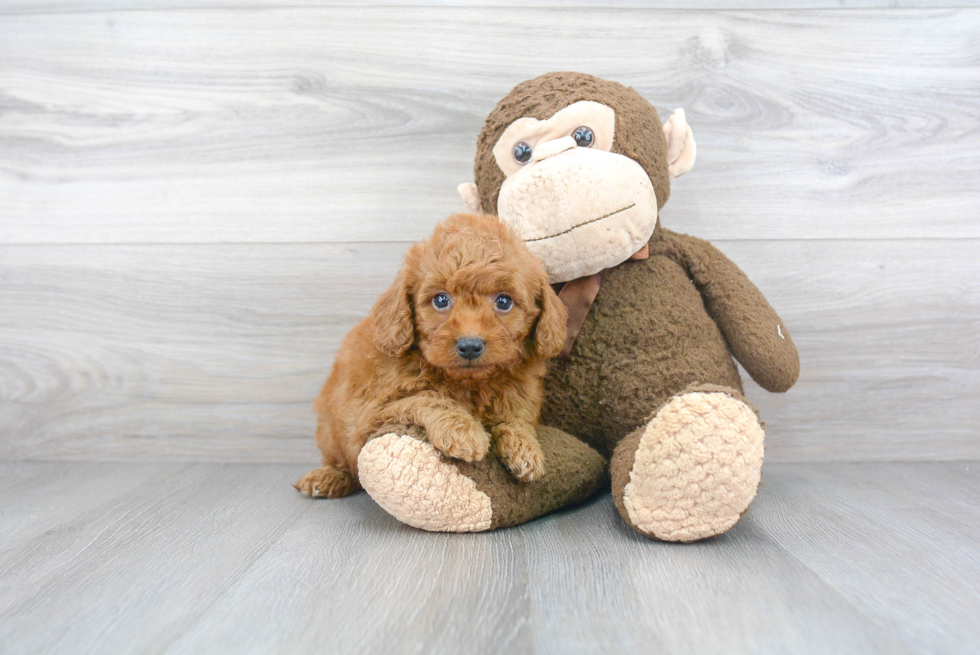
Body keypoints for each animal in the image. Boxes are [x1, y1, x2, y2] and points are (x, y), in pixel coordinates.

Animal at [290, 213, 568, 500]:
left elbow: (516, 419)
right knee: (344, 464)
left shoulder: (520, 398)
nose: (470, 345)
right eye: (441, 300)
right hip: (331, 430)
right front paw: (463, 431)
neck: (470, 384)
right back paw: (327, 478)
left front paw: (525, 449)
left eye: (503, 302)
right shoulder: (371, 413)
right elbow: (426, 397)